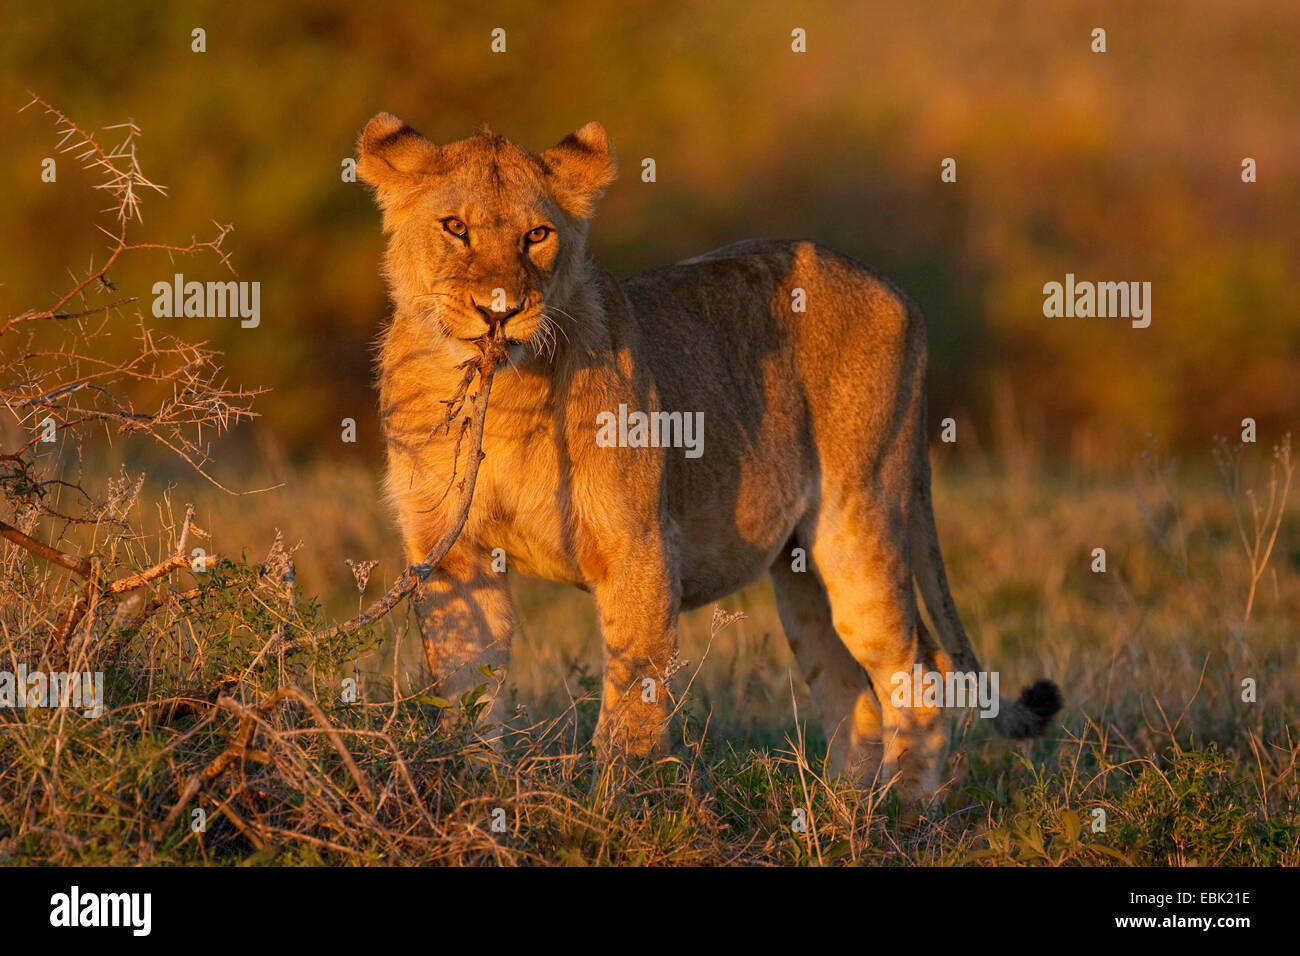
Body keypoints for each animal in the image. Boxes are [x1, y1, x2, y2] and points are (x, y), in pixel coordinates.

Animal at [353, 111, 1055, 801]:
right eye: (455, 227)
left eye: (537, 235)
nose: (499, 311)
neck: (497, 400)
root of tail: (897, 292)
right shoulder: (452, 553)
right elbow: (468, 688)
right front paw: (472, 793)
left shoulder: (638, 543)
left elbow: (633, 696)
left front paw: (617, 809)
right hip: (800, 574)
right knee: (851, 691)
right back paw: (836, 810)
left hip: (858, 523)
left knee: (917, 668)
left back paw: (904, 811)